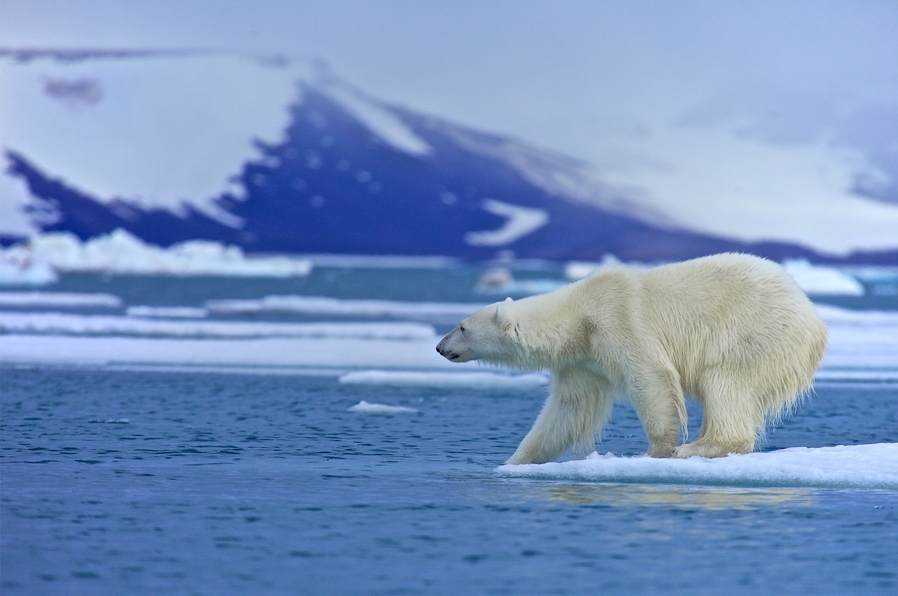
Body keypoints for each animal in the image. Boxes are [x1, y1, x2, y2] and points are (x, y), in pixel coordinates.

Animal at [434, 254, 824, 464]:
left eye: (462, 326)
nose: (439, 347)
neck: (578, 315)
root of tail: (815, 323)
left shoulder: (619, 320)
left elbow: (650, 378)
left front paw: (659, 449)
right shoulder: (583, 361)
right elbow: (568, 410)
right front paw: (516, 460)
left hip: (752, 332)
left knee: (726, 381)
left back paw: (698, 446)